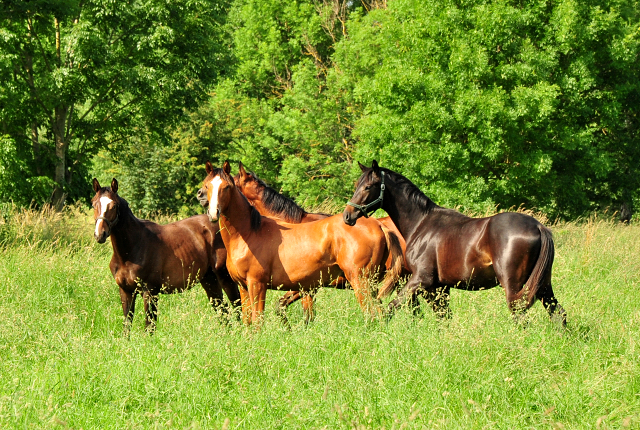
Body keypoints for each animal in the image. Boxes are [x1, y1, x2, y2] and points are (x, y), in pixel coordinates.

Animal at [90, 176, 240, 332]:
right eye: (93, 204)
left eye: (113, 206)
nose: (100, 235)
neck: (129, 252)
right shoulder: (126, 291)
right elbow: (127, 325)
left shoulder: (150, 292)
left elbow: (149, 326)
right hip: (209, 280)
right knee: (223, 311)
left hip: (224, 277)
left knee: (237, 306)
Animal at [199, 161, 400, 326]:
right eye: (207, 185)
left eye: (227, 186)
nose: (202, 197)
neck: (249, 233)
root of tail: (379, 224)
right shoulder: (244, 287)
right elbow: (251, 321)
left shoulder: (261, 285)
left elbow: (261, 322)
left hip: (361, 281)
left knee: (374, 314)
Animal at [342, 161, 568, 326]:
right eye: (357, 185)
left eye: (367, 187)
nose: (347, 215)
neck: (422, 223)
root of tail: (538, 227)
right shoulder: (439, 287)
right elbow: (444, 319)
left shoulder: (421, 281)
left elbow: (391, 307)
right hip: (543, 285)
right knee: (558, 314)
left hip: (514, 286)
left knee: (521, 317)